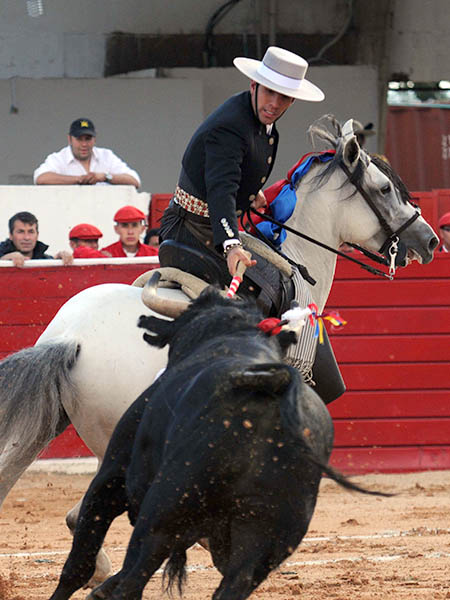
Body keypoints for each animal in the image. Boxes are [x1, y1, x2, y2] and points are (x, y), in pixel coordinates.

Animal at [50, 288, 386, 596]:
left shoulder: (111, 479)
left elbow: (77, 564)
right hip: (267, 539)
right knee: (231, 586)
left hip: (160, 514)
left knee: (132, 580)